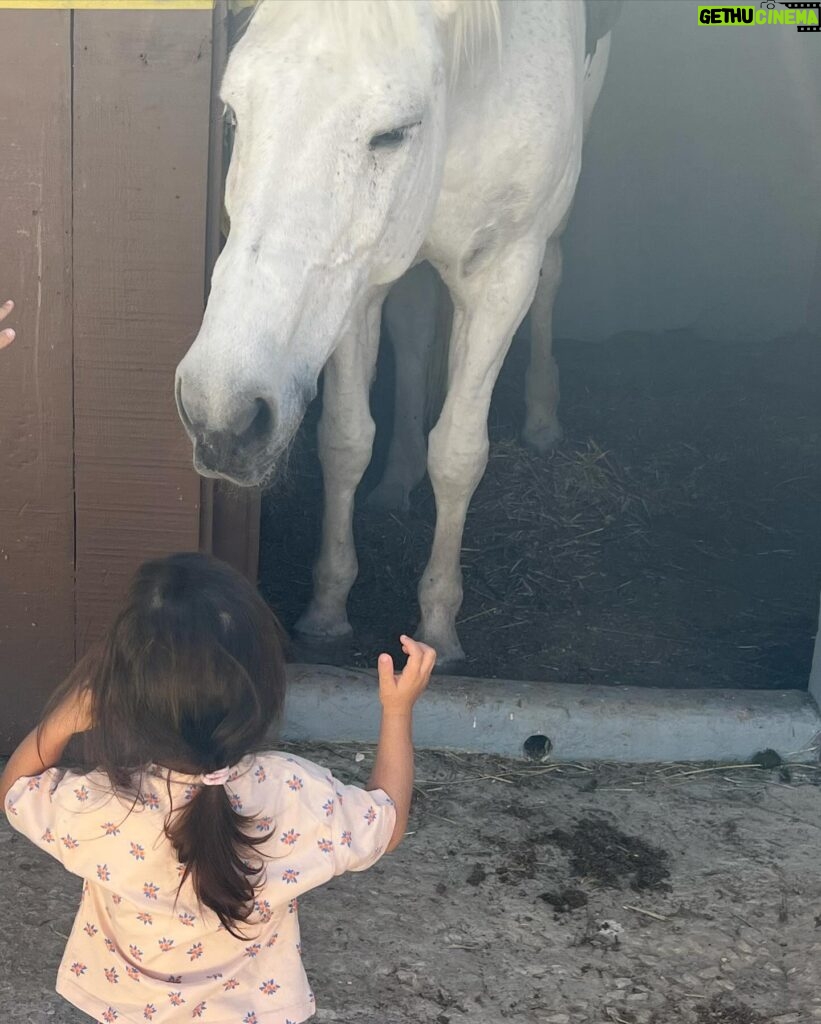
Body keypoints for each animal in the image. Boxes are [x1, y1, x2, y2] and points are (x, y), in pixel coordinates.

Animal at [176, 0, 618, 663]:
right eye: (232, 112)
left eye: (392, 133)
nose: (218, 414)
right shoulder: (355, 282)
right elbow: (345, 440)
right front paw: (328, 607)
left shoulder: (505, 273)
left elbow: (459, 453)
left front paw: (437, 624)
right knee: (412, 333)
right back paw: (396, 479)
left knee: (553, 275)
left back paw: (542, 418)